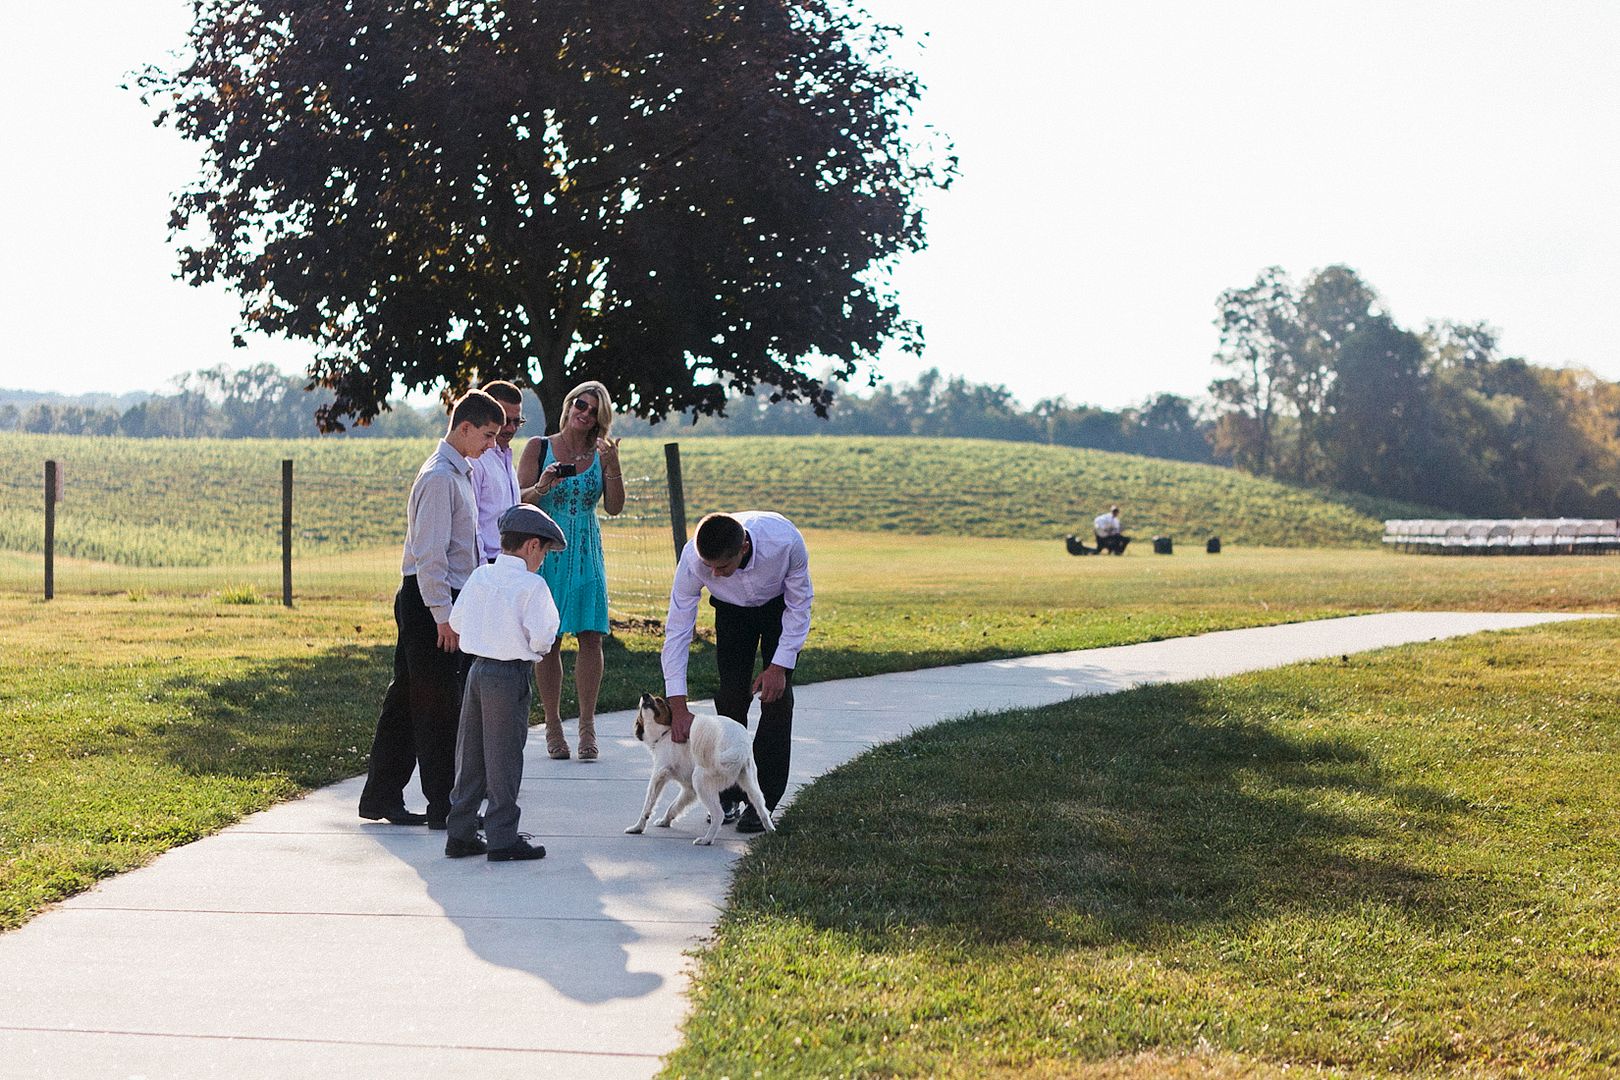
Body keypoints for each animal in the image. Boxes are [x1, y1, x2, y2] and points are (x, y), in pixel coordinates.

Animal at [622, 693, 774, 841]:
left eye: (659, 700)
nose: (645, 695)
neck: (665, 733)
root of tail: (740, 745)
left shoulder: (659, 774)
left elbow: (648, 805)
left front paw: (637, 827)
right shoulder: (689, 789)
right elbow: (674, 806)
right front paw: (665, 821)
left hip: (700, 780)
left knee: (718, 814)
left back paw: (706, 840)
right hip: (749, 783)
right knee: (762, 808)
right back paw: (770, 831)